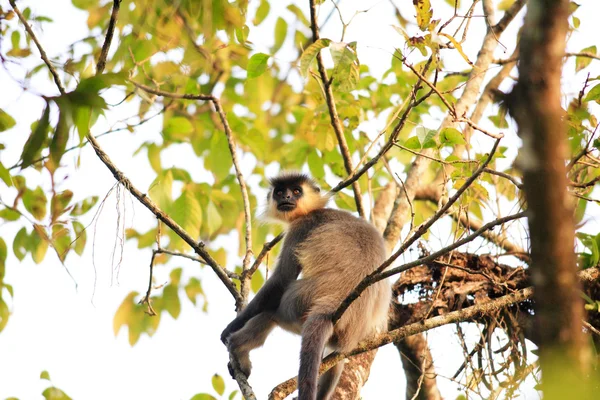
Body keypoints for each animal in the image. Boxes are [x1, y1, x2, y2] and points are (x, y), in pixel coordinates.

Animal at [220, 173, 390, 400]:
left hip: (297, 302)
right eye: (280, 192)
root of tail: (336, 301)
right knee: (335, 359)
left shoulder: (301, 227)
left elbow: (281, 280)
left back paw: (238, 348)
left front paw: (230, 328)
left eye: (296, 190)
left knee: (271, 312)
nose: (287, 197)